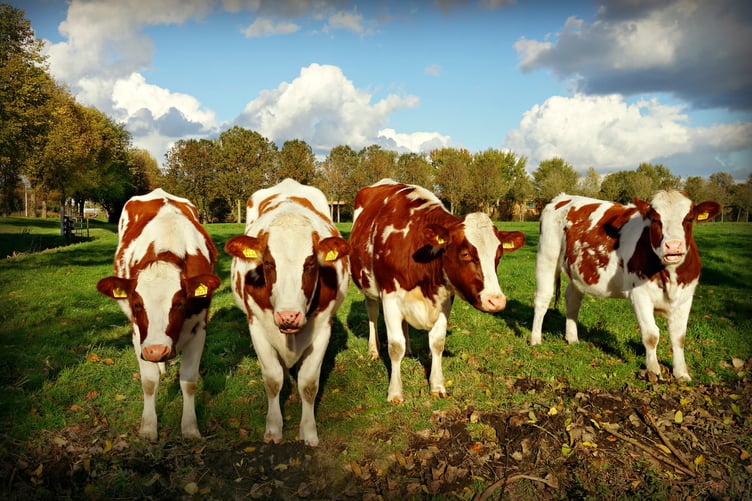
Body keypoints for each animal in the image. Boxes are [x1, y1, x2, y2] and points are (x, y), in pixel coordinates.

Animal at [96, 188, 221, 441]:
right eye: (136, 304)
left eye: (180, 303)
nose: (156, 351)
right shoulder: (138, 334)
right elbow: (149, 381)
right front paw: (148, 427)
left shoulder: (199, 328)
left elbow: (189, 381)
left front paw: (190, 428)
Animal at [224, 179, 350, 447]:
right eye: (268, 263)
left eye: (310, 263)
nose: (288, 316)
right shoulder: (256, 326)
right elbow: (273, 380)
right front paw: (273, 428)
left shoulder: (323, 328)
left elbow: (309, 383)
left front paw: (309, 430)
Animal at [349, 179, 525, 403]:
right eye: (465, 253)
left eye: (499, 256)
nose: (496, 301)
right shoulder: (390, 297)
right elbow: (395, 347)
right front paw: (395, 392)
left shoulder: (444, 300)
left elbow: (437, 343)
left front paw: (437, 385)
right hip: (368, 287)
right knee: (372, 313)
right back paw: (373, 350)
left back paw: (409, 350)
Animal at [530, 191, 721, 382]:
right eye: (655, 219)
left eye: (689, 219)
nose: (673, 246)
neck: (670, 275)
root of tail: (562, 197)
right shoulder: (639, 295)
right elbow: (651, 335)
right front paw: (653, 370)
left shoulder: (686, 297)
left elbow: (679, 336)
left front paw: (681, 373)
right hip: (547, 256)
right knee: (542, 300)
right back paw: (535, 339)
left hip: (578, 271)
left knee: (572, 299)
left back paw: (572, 338)